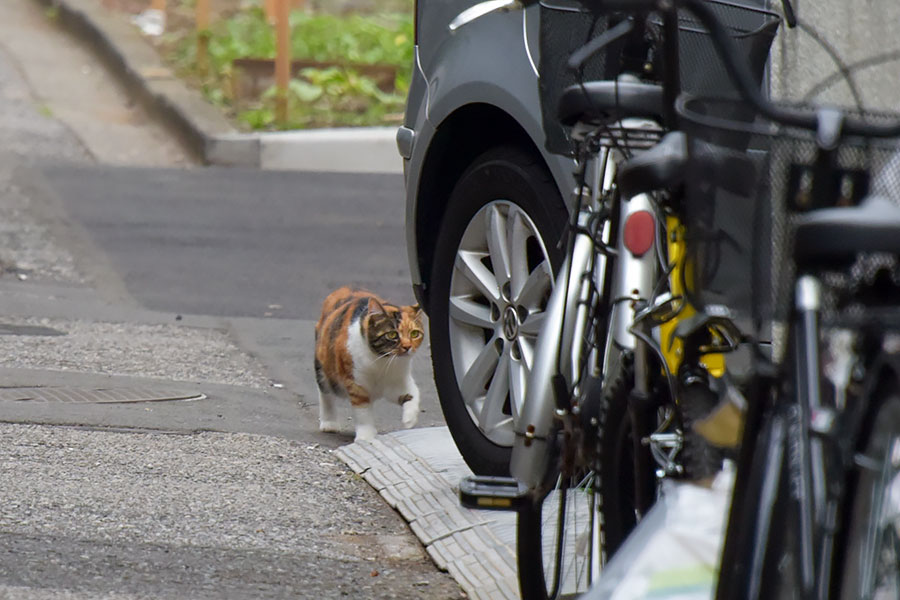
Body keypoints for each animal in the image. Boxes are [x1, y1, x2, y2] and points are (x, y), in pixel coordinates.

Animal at [312, 286, 426, 440]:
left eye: (414, 333)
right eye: (392, 335)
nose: (408, 346)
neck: (381, 361)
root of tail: (345, 288)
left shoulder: (398, 380)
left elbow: (412, 393)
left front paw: (409, 419)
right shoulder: (356, 384)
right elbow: (363, 412)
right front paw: (366, 437)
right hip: (327, 372)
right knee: (325, 393)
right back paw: (329, 423)